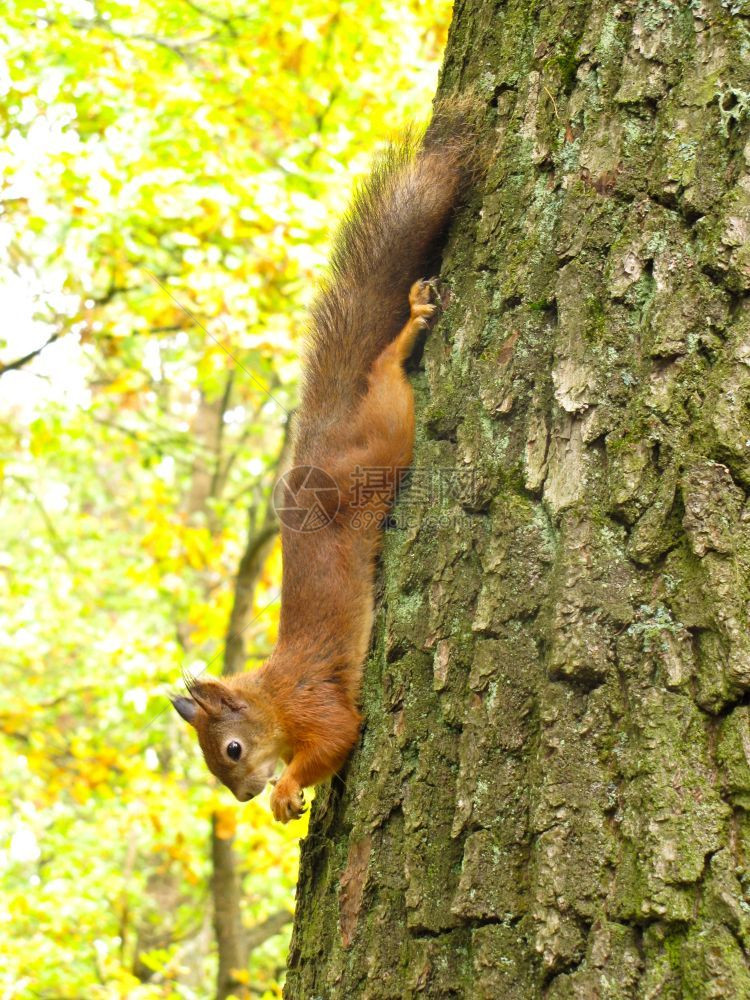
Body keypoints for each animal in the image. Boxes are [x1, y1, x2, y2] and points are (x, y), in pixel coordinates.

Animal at [173, 99, 478, 820]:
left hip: (382, 438)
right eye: (216, 767)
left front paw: (289, 790)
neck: (271, 697)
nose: (247, 794)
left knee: (387, 377)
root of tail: (317, 443)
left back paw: (410, 327)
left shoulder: (314, 701)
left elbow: (340, 734)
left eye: (231, 751)